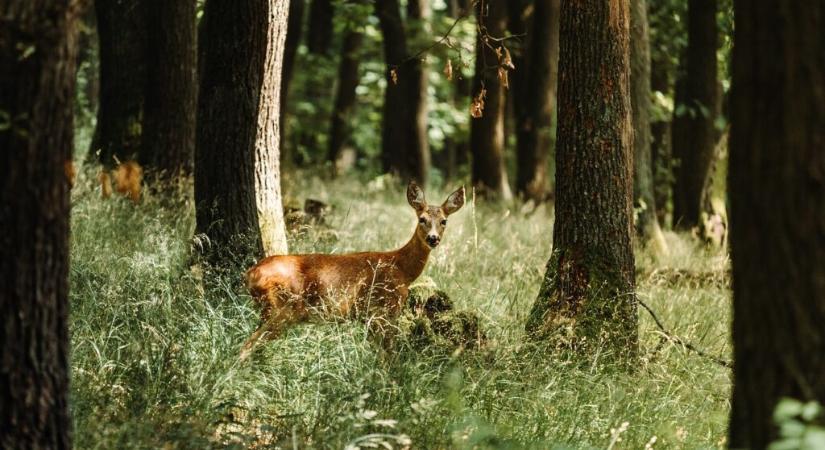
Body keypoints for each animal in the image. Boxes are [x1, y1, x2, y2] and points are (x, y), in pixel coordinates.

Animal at [241, 181, 466, 360]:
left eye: (444, 221)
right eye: (422, 219)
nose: (433, 238)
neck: (402, 269)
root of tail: (250, 274)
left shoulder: (369, 317)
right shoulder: (382, 311)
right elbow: (388, 356)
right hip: (281, 309)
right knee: (247, 346)